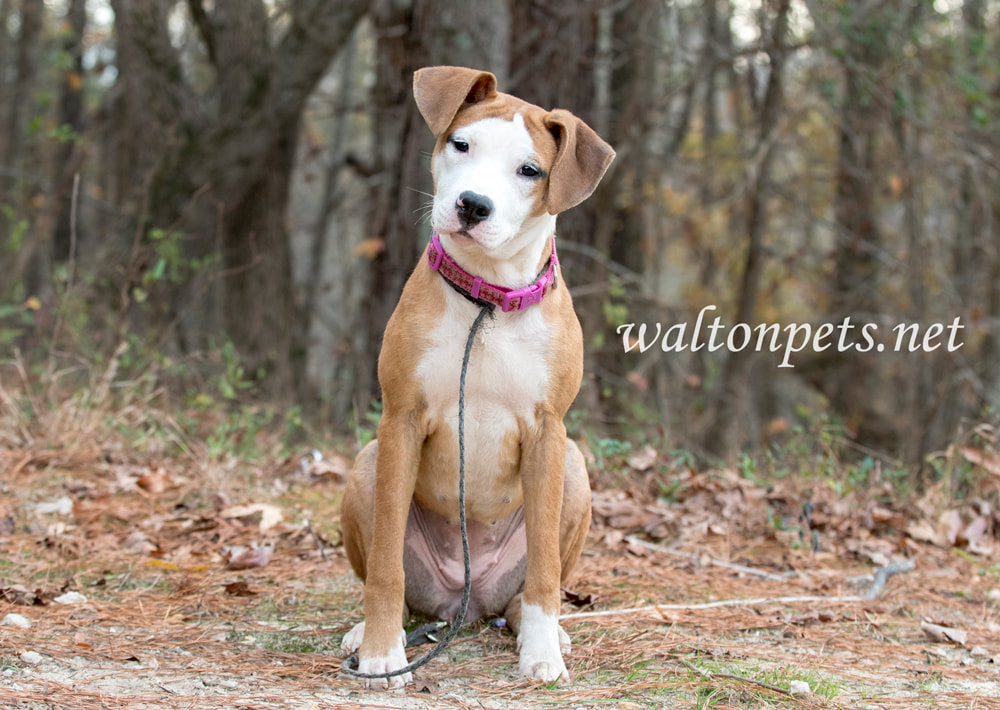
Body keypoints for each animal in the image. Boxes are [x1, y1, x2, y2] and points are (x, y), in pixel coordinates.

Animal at [340, 65, 612, 688]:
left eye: (530, 170)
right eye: (461, 144)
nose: (472, 205)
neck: (487, 299)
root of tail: (463, 604)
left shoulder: (548, 431)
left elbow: (544, 572)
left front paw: (542, 654)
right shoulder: (400, 420)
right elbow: (386, 566)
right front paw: (383, 654)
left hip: (574, 468)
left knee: (528, 589)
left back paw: (542, 630)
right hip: (368, 462)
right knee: (397, 586)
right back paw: (367, 631)